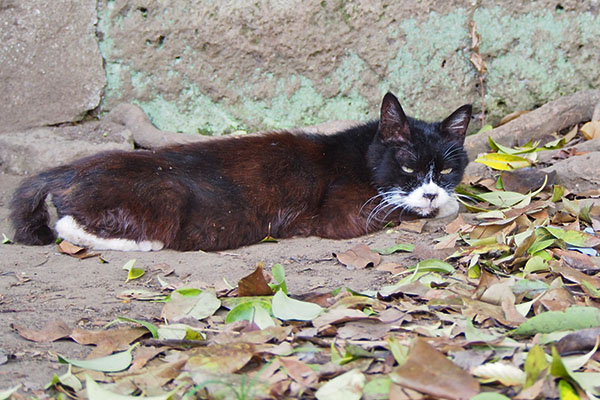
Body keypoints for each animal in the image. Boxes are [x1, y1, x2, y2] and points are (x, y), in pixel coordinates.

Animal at [7, 92, 472, 252]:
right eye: (408, 166)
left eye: (448, 169)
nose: (432, 191)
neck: (363, 155)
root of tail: (68, 168)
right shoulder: (344, 214)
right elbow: (406, 210)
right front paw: (442, 207)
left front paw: (447, 200)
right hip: (165, 193)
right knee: (66, 223)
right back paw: (145, 243)